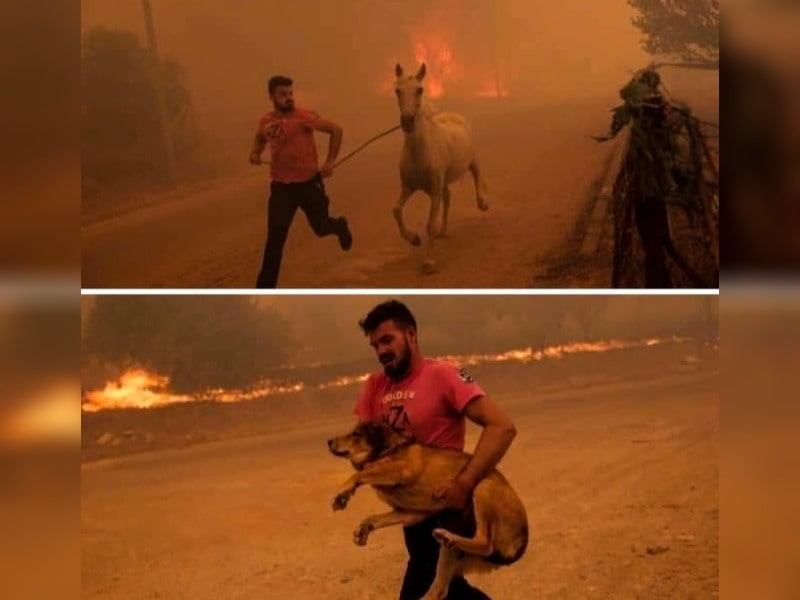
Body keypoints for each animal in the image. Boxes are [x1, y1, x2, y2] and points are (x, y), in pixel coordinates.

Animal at [390, 62, 484, 274]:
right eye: (397, 90)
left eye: (419, 89)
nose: (407, 121)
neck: (419, 151)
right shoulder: (408, 187)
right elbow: (396, 210)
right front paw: (414, 239)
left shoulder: (433, 191)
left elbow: (429, 224)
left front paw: (428, 262)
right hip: (443, 182)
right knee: (447, 197)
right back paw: (444, 230)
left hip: (472, 161)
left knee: (477, 175)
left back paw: (483, 203)